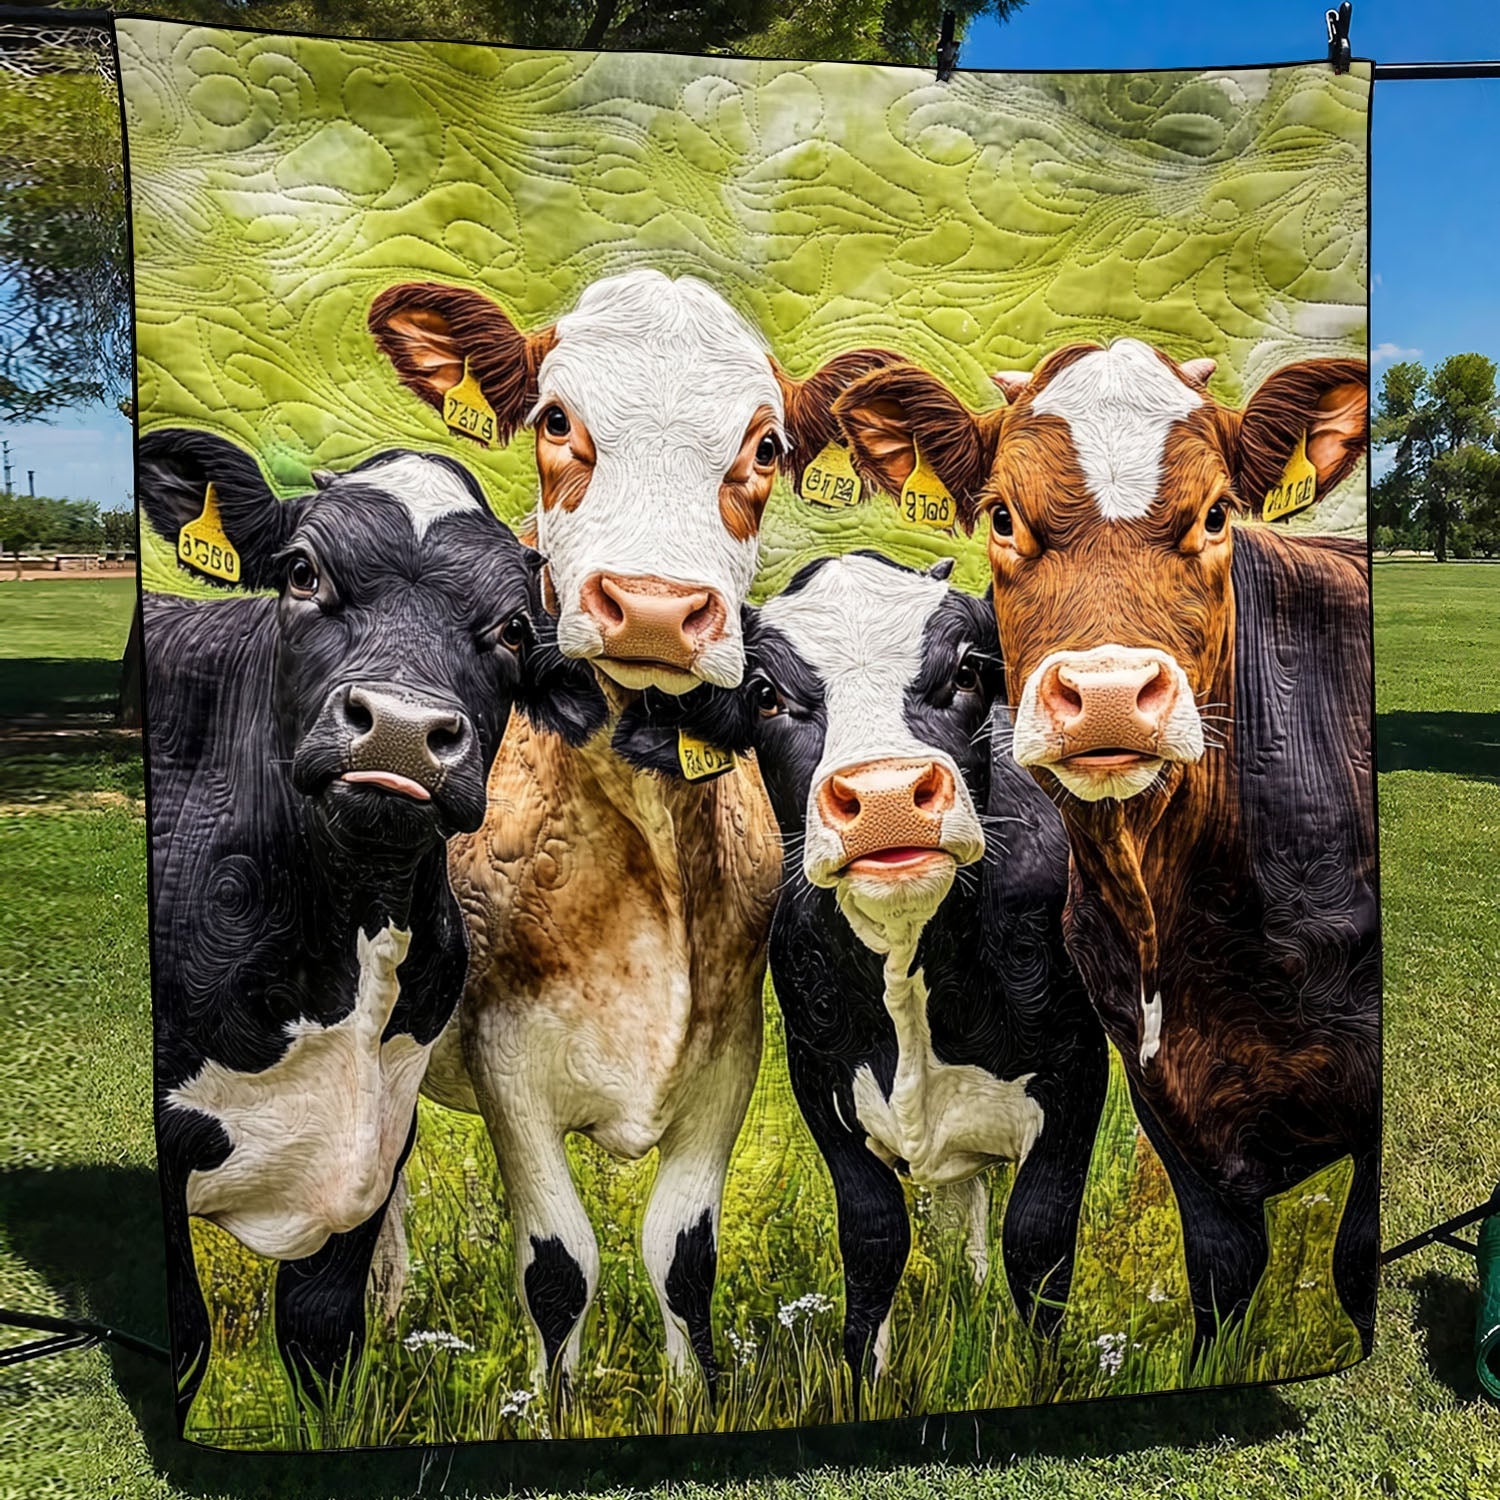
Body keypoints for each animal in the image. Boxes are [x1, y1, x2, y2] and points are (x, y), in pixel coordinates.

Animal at [137, 428, 604, 1425]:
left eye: (514, 628)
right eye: (302, 571)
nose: (398, 728)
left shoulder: (377, 1134)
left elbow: (322, 1342)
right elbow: (187, 1338)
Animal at [367, 267, 904, 1390]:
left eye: (766, 446)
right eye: (556, 420)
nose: (655, 608)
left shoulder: (730, 1053)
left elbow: (681, 1254)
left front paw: (691, 1394)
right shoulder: (508, 1067)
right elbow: (559, 1265)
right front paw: (552, 1407)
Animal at [613, 551, 1107, 1382]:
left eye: (967, 671)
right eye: (765, 695)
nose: (884, 797)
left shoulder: (1076, 1075)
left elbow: (1038, 1248)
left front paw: (1040, 1376)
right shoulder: (819, 1078)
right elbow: (874, 1241)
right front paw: (864, 1382)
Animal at [833, 341, 1379, 1355]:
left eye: (1216, 514)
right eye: (1003, 516)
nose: (1112, 694)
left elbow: (1359, 1267)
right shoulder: (1165, 1090)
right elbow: (1222, 1275)